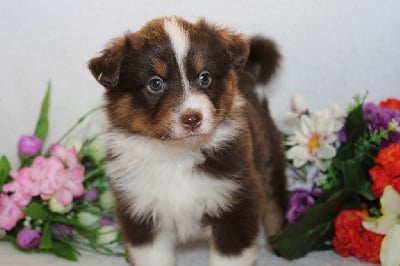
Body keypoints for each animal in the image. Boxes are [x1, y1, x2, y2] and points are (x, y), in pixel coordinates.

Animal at [88, 17, 286, 266]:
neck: (177, 155)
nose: (192, 118)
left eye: (205, 77)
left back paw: (279, 241)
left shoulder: (238, 199)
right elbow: (155, 257)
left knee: (275, 199)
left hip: (269, 152)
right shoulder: (140, 206)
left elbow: (229, 256)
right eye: (155, 83)